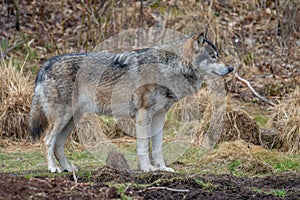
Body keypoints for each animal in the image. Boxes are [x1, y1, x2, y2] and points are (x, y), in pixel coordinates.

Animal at [29, 32, 233, 173]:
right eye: (213, 56)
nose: (231, 68)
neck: (170, 68)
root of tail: (46, 64)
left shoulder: (159, 115)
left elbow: (157, 148)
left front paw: (162, 168)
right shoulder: (143, 113)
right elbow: (143, 146)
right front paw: (147, 169)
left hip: (72, 120)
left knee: (58, 144)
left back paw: (67, 168)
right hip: (63, 118)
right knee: (48, 140)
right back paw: (53, 168)